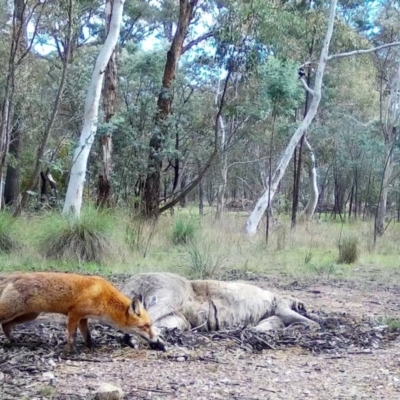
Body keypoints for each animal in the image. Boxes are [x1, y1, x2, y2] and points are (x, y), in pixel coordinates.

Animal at [0, 272, 164, 354]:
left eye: (150, 325)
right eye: (145, 326)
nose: (156, 340)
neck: (105, 298)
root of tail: (16, 276)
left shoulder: (83, 319)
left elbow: (88, 336)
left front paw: (91, 347)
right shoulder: (74, 313)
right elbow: (71, 336)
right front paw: (70, 352)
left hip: (29, 315)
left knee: (6, 326)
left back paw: (13, 340)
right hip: (13, 312)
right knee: (4, 322)